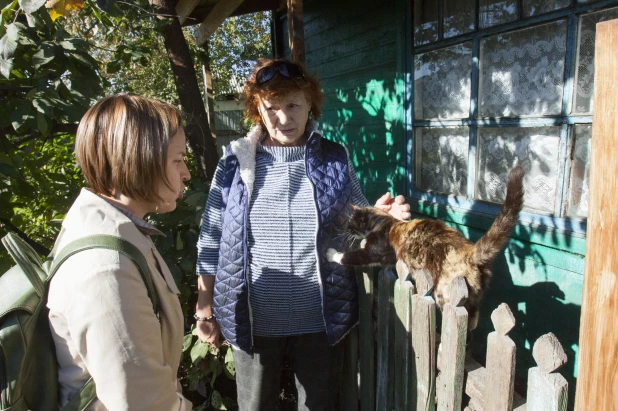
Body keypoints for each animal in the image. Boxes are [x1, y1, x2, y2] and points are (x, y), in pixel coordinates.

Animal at [324, 166, 524, 330]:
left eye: (351, 223)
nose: (345, 228)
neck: (380, 221)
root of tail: (469, 252)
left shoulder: (374, 252)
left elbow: (351, 256)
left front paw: (332, 254)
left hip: (444, 291)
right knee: (473, 317)